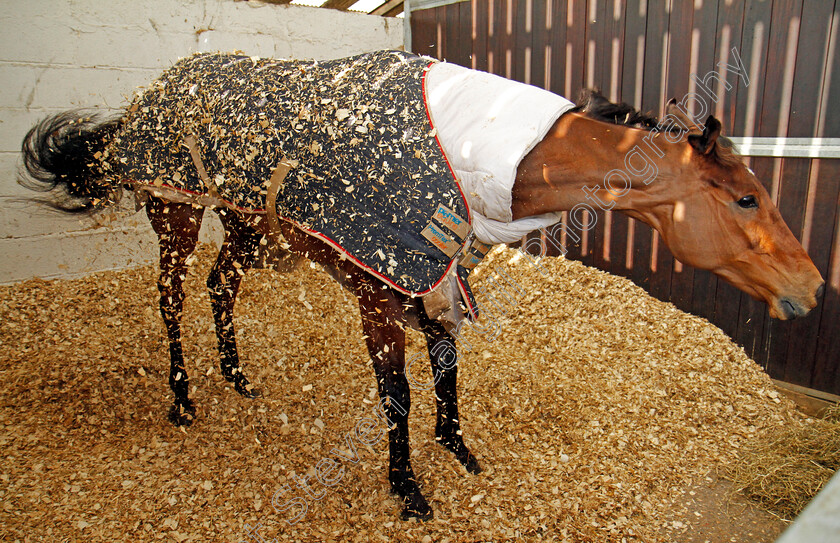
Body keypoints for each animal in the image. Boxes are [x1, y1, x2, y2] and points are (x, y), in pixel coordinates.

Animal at [18, 57, 820, 520]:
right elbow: (397, 390)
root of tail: (142, 99)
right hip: (176, 212)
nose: (812, 288)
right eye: (746, 198)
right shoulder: (380, 290)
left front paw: (458, 449)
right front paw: (407, 488)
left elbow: (446, 364)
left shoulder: (438, 275)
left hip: (247, 223)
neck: (479, 143)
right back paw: (184, 399)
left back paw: (238, 377)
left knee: (222, 286)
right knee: (171, 297)